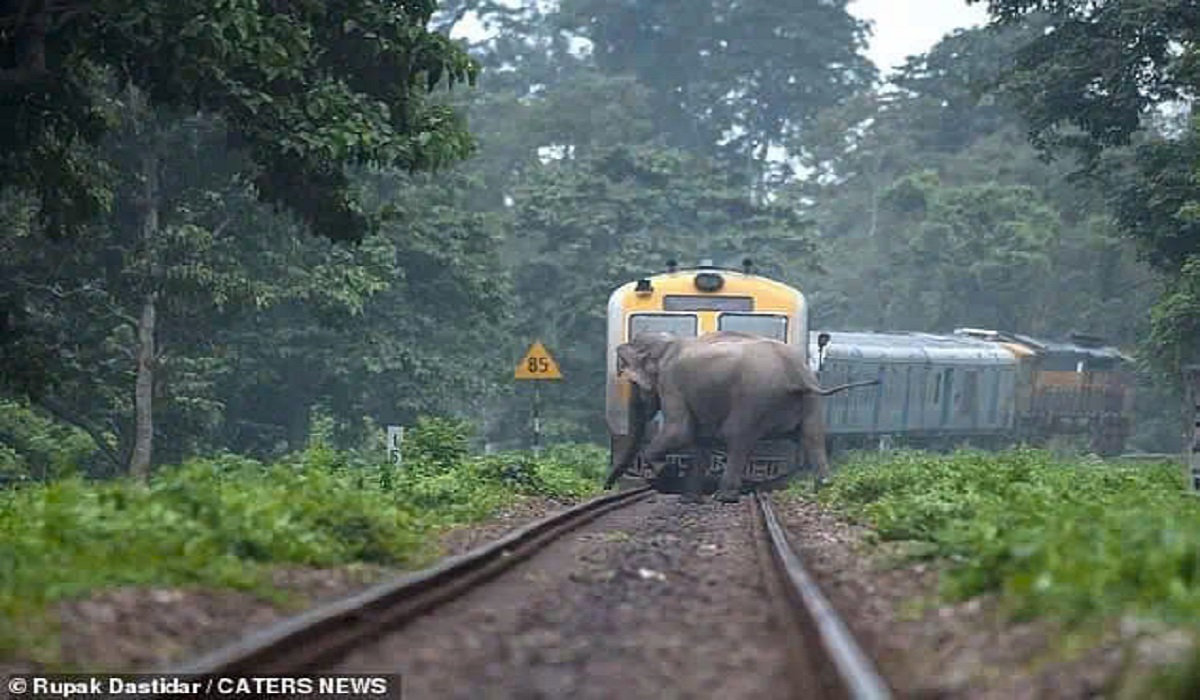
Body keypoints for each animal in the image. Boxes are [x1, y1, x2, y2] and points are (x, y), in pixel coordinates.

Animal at [604, 328, 878, 501]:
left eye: (634, 384)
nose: (606, 487)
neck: (668, 342)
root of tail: (795, 373)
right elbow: (699, 440)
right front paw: (688, 499)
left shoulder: (672, 383)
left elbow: (679, 431)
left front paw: (666, 472)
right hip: (810, 402)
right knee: (813, 437)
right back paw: (824, 490)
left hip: (754, 398)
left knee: (738, 437)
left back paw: (725, 497)